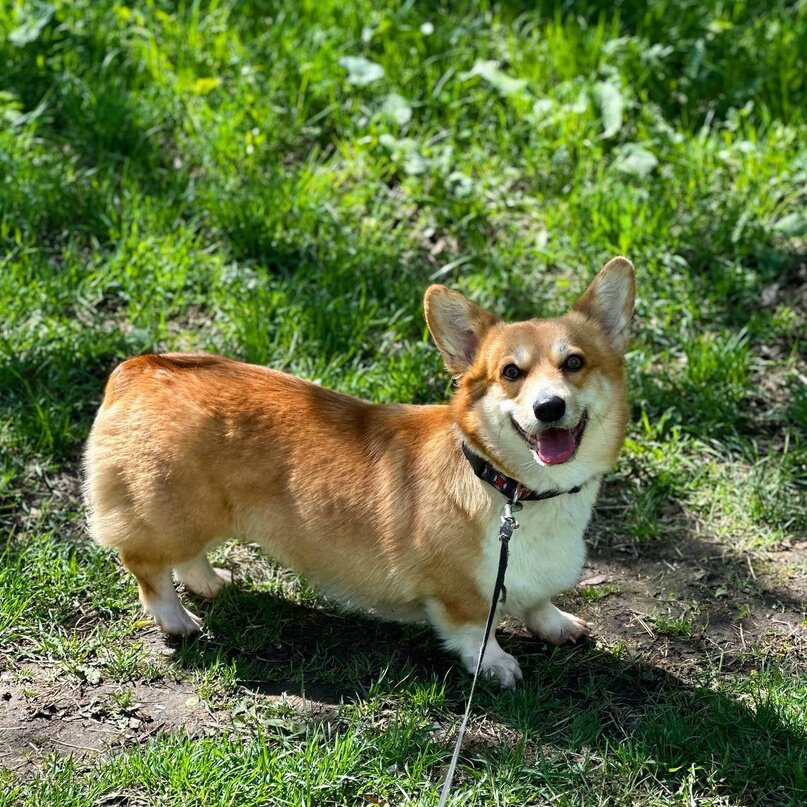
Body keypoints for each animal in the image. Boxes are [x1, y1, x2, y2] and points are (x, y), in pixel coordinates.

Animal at [83, 258, 636, 688]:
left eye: (574, 362)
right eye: (511, 373)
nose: (549, 407)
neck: (515, 490)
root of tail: (138, 367)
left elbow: (539, 601)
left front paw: (556, 624)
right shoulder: (461, 595)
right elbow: (476, 631)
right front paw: (497, 663)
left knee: (185, 559)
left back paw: (211, 582)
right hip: (173, 515)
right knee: (146, 566)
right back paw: (177, 619)